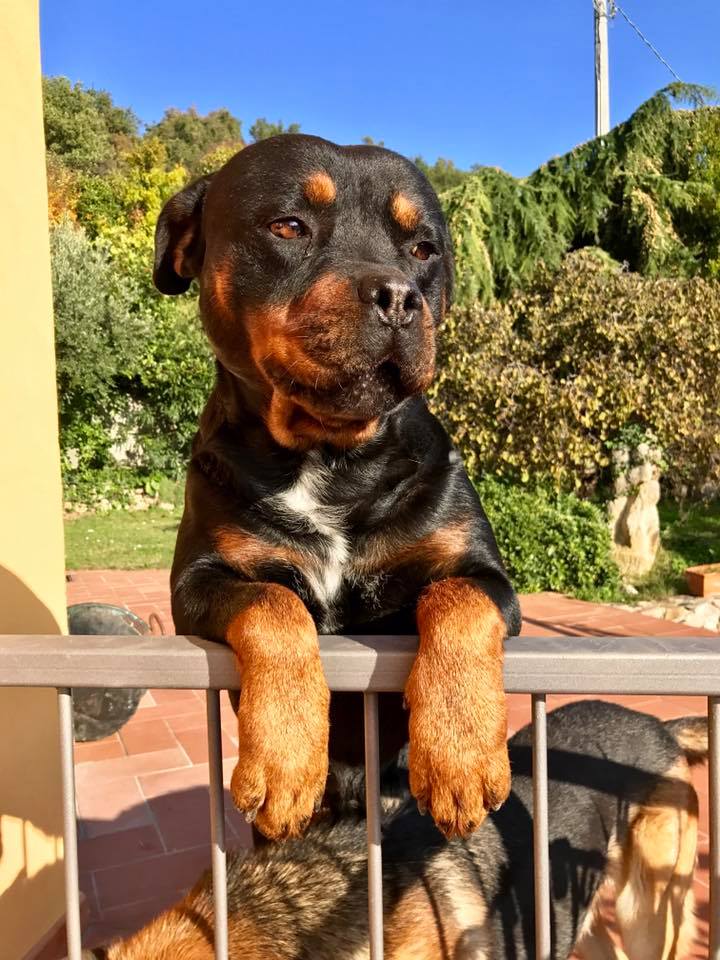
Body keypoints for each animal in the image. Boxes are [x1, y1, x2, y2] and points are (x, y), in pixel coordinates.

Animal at [155, 133, 520, 840]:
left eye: (424, 249)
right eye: (288, 226)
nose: (399, 296)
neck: (332, 461)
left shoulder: (487, 575)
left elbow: (458, 600)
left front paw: (459, 755)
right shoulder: (198, 582)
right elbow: (273, 605)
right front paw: (286, 762)